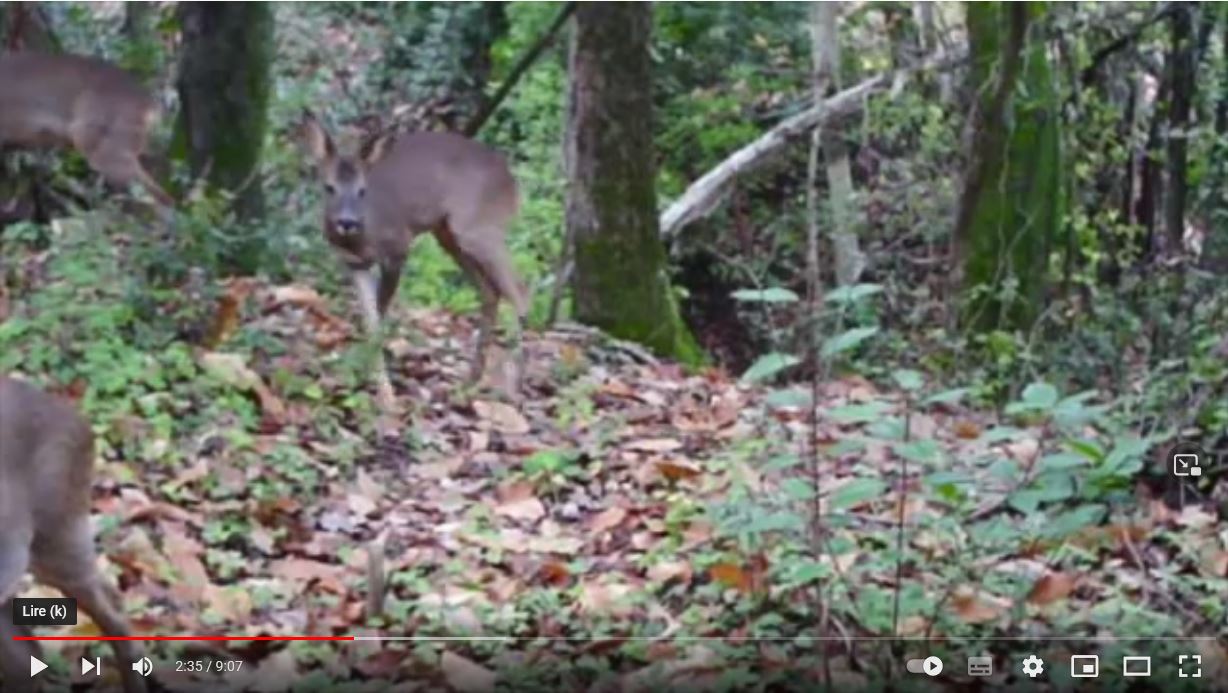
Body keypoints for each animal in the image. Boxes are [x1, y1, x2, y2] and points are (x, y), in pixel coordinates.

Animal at [299, 111, 530, 407]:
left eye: (362, 190)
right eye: (329, 187)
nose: (347, 222)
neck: (366, 233)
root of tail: (513, 184)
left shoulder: (397, 249)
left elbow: (380, 318)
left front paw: (385, 397)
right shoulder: (354, 264)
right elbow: (370, 322)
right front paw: (360, 376)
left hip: (478, 227)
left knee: (520, 291)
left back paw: (511, 387)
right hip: (448, 233)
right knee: (490, 291)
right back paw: (469, 382)